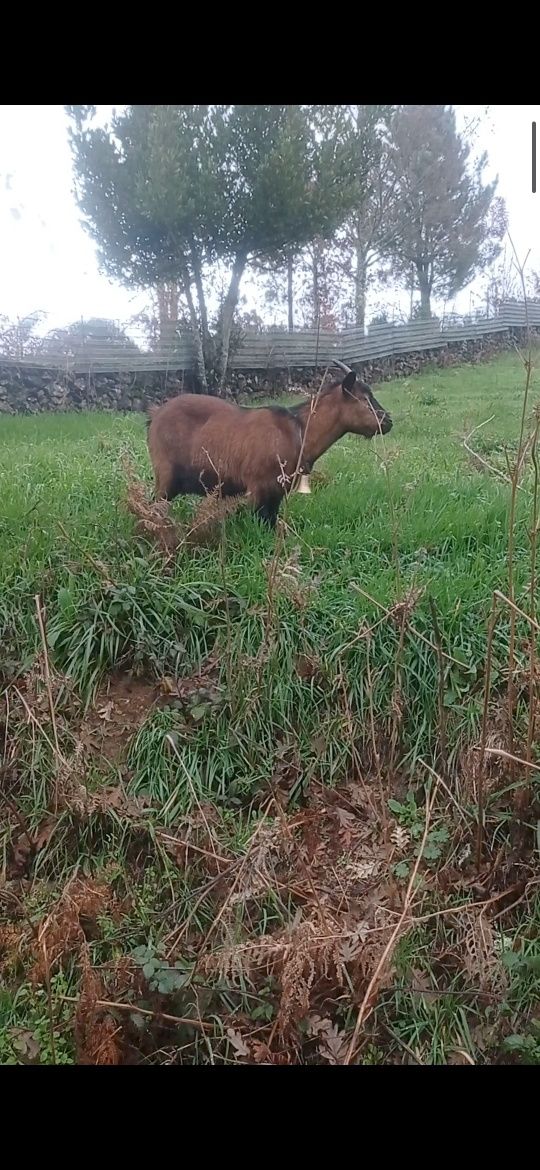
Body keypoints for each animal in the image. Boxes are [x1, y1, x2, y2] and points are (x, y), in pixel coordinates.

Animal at [146, 367, 392, 528]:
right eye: (365, 398)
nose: (388, 421)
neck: (298, 429)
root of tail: (155, 415)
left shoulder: (276, 493)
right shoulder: (258, 488)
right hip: (165, 477)